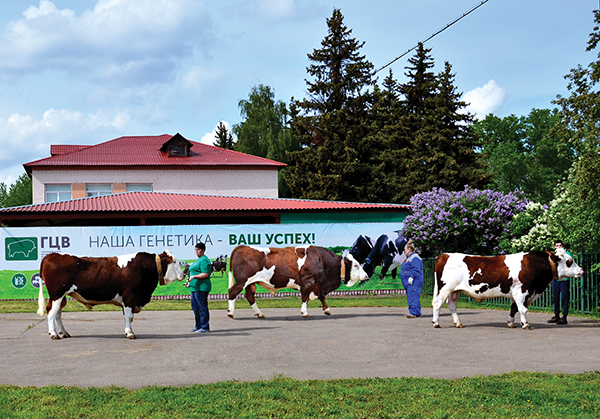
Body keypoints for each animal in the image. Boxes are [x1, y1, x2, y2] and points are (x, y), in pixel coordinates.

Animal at [38, 251, 183, 340]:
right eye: (174, 261)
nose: (184, 273)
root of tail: (52, 255)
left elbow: (126, 317)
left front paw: (127, 331)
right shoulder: (130, 297)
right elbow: (129, 317)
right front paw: (130, 333)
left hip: (61, 296)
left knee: (57, 313)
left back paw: (64, 332)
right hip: (57, 294)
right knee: (51, 313)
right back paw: (54, 334)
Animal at [226, 246, 366, 318]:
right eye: (356, 265)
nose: (366, 275)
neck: (320, 259)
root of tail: (242, 246)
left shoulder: (318, 285)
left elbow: (321, 296)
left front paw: (327, 310)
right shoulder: (308, 282)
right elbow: (304, 297)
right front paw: (304, 312)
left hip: (250, 283)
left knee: (249, 296)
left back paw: (259, 313)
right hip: (242, 281)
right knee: (232, 292)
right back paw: (231, 312)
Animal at [434, 248, 584, 330]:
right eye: (569, 261)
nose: (581, 270)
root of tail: (444, 255)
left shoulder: (519, 294)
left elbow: (514, 309)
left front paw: (511, 323)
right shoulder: (521, 292)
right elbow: (523, 309)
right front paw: (525, 324)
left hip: (454, 291)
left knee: (452, 305)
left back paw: (458, 323)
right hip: (445, 289)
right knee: (437, 303)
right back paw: (436, 323)